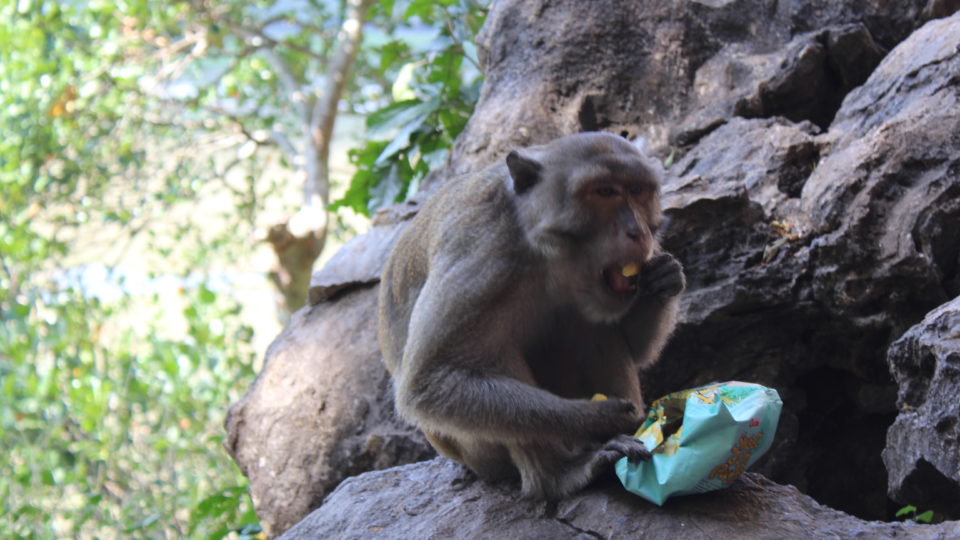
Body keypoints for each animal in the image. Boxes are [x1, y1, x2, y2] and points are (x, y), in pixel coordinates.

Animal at [378, 131, 685, 499]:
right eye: (604, 192)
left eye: (637, 190)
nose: (637, 231)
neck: (545, 255)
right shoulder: (482, 254)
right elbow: (432, 378)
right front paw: (599, 417)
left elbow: (635, 347)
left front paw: (664, 279)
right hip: (472, 453)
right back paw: (560, 474)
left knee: (590, 326)